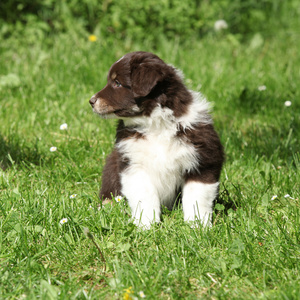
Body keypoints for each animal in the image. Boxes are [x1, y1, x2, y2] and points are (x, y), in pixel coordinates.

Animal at [88, 51, 224, 227]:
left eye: (117, 83)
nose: (91, 101)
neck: (155, 124)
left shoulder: (203, 160)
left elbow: (196, 198)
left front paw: (198, 226)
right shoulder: (134, 164)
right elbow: (145, 197)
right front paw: (146, 225)